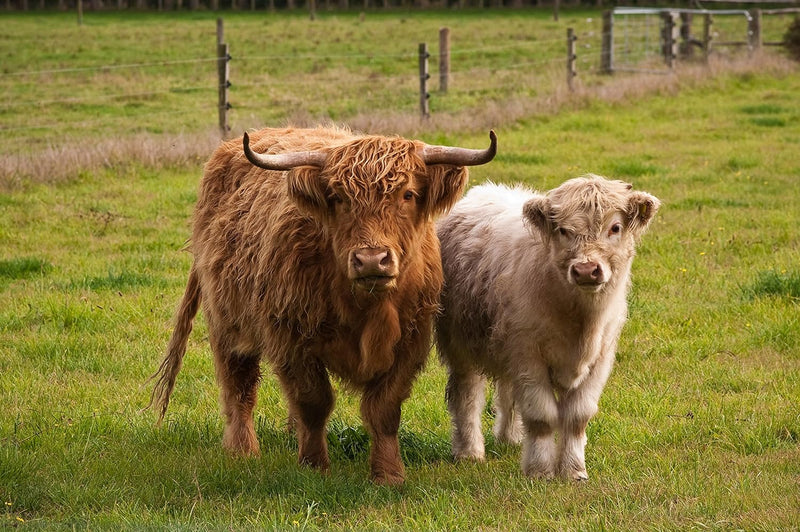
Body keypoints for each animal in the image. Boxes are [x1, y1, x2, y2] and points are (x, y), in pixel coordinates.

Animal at [434, 177, 660, 480]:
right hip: (461, 344)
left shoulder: (600, 358)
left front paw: (574, 470)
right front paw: (540, 471)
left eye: (615, 227)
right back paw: (469, 452)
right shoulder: (528, 355)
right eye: (563, 230)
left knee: (507, 392)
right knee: (466, 396)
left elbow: (578, 416)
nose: (586, 270)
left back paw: (510, 438)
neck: (582, 324)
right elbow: (541, 416)